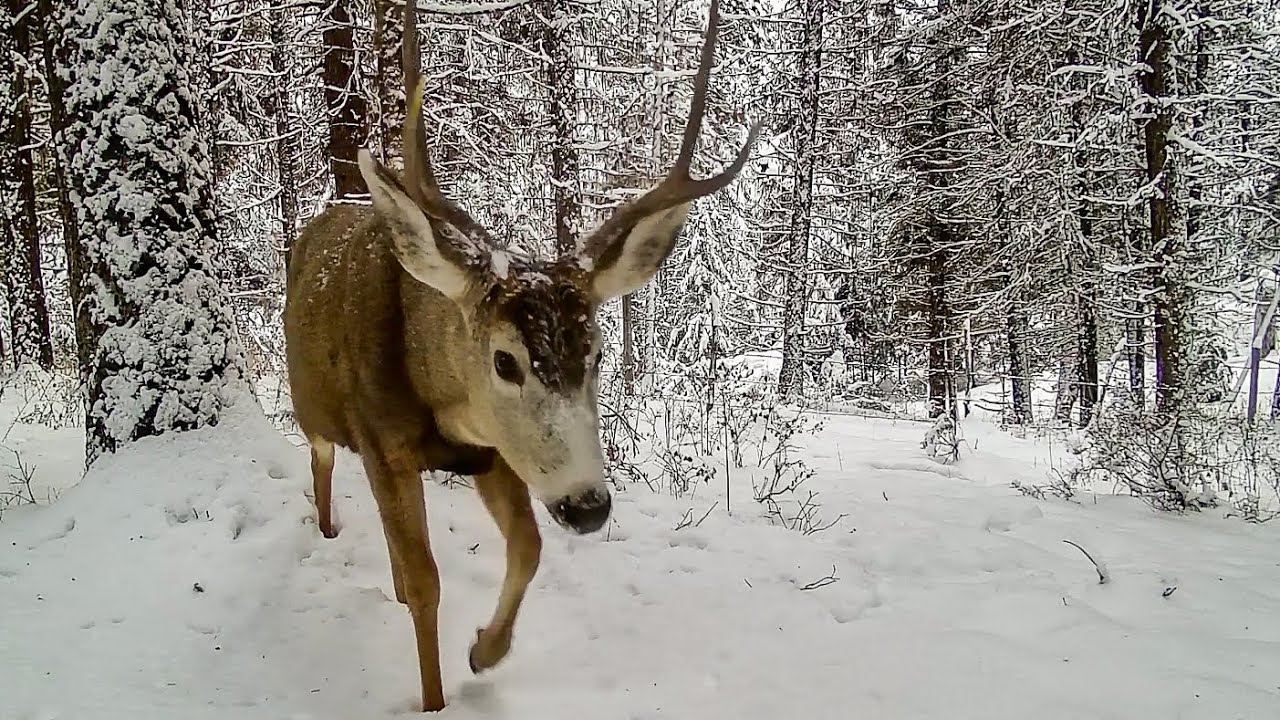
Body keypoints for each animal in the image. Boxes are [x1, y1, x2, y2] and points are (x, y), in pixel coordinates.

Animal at [282, 0, 759, 711]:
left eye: (598, 352)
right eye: (505, 361)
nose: (588, 506)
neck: (440, 404)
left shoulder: (493, 450)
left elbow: (528, 547)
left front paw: (484, 650)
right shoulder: (383, 440)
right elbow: (428, 583)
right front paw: (435, 700)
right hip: (316, 412)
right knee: (320, 461)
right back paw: (329, 532)